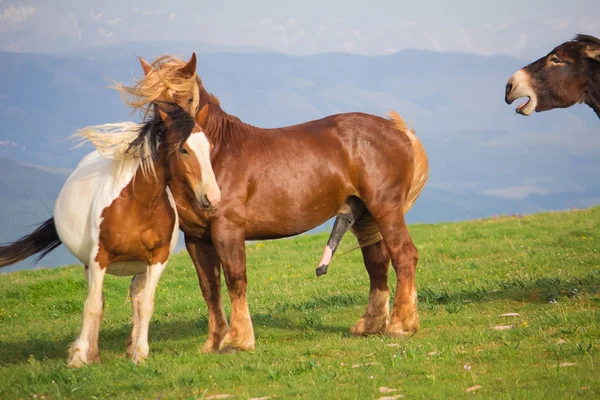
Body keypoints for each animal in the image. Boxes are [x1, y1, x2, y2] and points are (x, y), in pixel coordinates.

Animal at [0, 102, 221, 366]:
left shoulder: (157, 260)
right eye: (184, 150)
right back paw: (91, 353)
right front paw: (79, 357)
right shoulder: (99, 259)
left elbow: (146, 304)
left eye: (208, 147)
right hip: (90, 266)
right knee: (99, 300)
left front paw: (140, 353)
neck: (138, 204)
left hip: (138, 268)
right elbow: (93, 305)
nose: (213, 198)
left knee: (135, 296)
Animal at [115, 54, 428, 354]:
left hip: (385, 209)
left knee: (404, 255)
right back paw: (371, 324)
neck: (217, 156)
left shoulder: (227, 230)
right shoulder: (196, 238)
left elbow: (235, 280)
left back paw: (400, 325)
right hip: (364, 216)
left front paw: (237, 340)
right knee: (377, 263)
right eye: (156, 104)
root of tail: (398, 129)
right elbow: (210, 288)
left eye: (187, 99)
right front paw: (214, 342)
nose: (180, 141)